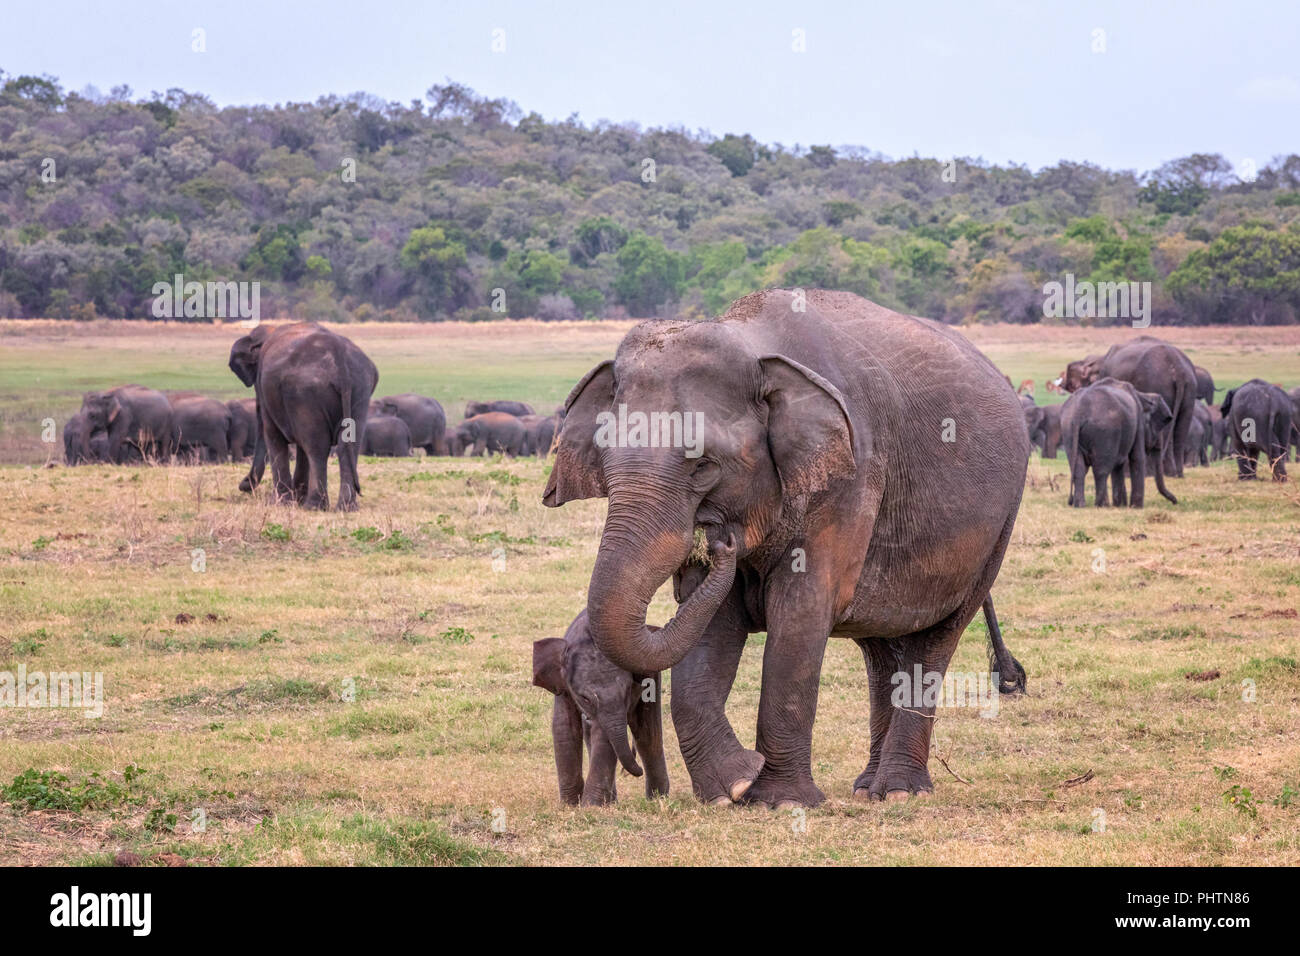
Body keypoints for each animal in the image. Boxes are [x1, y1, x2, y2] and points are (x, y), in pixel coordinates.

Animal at [228, 321, 379, 512]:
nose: (243, 485)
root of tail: (340, 362)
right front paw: (295, 499)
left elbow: (273, 434)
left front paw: (280, 503)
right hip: (360, 389)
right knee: (348, 445)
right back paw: (345, 508)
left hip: (306, 390)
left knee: (316, 447)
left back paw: (313, 506)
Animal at [530, 608, 670, 806]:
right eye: (585, 698)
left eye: (628, 691)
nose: (638, 772)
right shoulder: (563, 686)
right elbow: (564, 728)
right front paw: (569, 805)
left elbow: (603, 735)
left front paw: (591, 806)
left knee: (647, 735)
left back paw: (657, 800)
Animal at [1060, 340, 1190, 481]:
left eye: (1074, 386)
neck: (1099, 359)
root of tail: (1178, 370)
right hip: (1189, 388)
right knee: (1181, 428)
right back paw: (1177, 474)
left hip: (1159, 384)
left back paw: (1159, 474)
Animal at [1066, 377, 1180, 509]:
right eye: (1159, 428)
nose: (1175, 502)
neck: (1142, 395)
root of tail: (1079, 413)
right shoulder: (1138, 423)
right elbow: (1137, 457)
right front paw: (1136, 507)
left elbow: (1119, 464)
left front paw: (1120, 505)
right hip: (1105, 431)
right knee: (1101, 470)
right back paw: (1101, 505)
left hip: (1069, 431)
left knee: (1079, 469)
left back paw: (1080, 505)